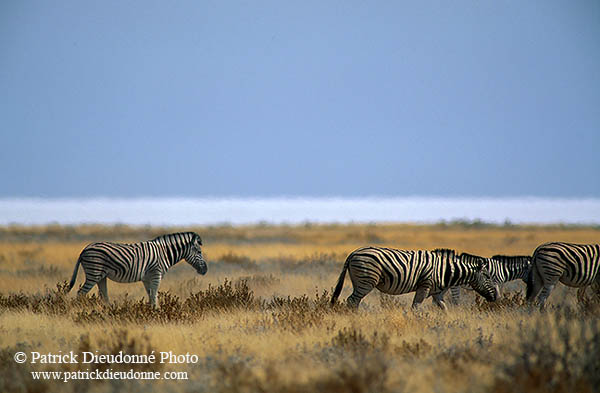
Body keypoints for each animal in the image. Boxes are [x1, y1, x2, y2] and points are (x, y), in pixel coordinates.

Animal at [67, 230, 206, 306]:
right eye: (199, 252)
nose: (205, 270)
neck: (164, 253)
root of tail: (84, 249)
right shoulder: (156, 274)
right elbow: (154, 295)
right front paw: (156, 313)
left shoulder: (147, 278)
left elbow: (150, 295)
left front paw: (151, 312)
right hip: (94, 273)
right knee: (80, 293)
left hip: (101, 276)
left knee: (104, 296)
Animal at [328, 245, 496, 310]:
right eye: (488, 277)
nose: (495, 297)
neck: (445, 270)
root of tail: (353, 252)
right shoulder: (425, 285)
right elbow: (416, 306)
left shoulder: (436, 292)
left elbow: (444, 307)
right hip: (366, 280)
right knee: (352, 300)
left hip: (359, 281)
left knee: (354, 300)